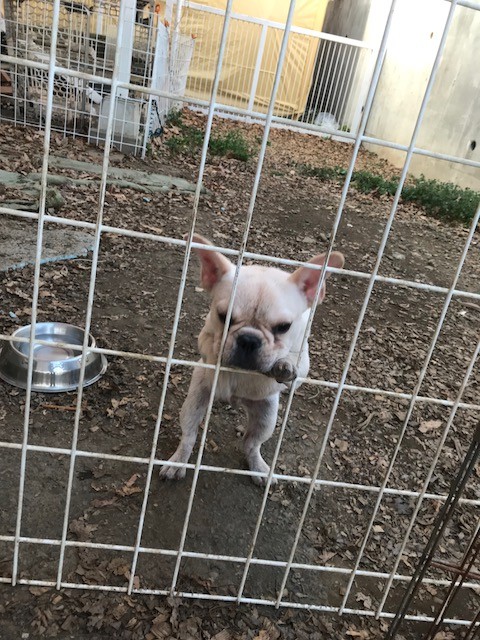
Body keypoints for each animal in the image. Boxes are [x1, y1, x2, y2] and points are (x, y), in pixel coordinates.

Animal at [160, 234, 344, 485]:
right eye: (223, 317)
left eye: (283, 327)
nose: (248, 339)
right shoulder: (206, 337)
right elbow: (211, 349)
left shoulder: (303, 363)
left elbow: (292, 368)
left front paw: (284, 365)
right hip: (194, 402)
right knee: (189, 435)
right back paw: (178, 461)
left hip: (266, 417)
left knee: (251, 443)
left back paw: (258, 467)